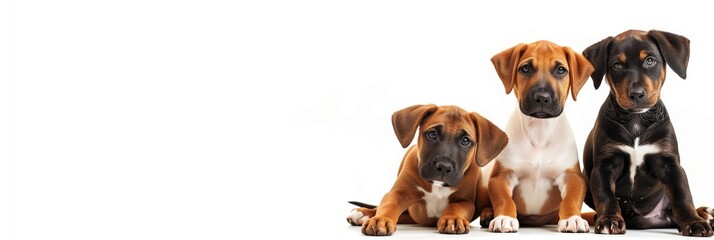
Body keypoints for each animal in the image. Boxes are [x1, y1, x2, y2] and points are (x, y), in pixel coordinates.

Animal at [344, 104, 506, 235]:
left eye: (465, 141)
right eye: (432, 134)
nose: (444, 167)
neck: (438, 186)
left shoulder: (464, 201)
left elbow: (456, 207)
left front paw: (453, 219)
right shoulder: (399, 193)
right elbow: (388, 205)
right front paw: (380, 219)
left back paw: (489, 214)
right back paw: (363, 213)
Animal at [484, 40, 596, 232]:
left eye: (561, 70)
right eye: (526, 68)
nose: (542, 97)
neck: (539, 132)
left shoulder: (572, 177)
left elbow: (571, 200)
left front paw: (573, 218)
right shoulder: (501, 176)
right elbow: (504, 200)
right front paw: (504, 218)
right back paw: (487, 214)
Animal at [584, 29, 712, 236]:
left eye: (650, 61)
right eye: (617, 65)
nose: (637, 94)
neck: (636, 120)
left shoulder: (670, 164)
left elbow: (682, 195)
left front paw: (693, 222)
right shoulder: (604, 165)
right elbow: (605, 195)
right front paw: (610, 220)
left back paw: (705, 214)